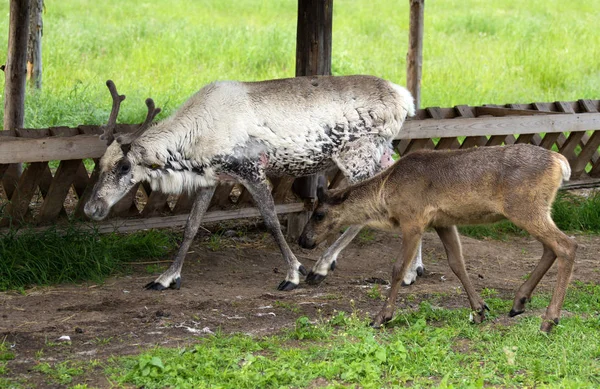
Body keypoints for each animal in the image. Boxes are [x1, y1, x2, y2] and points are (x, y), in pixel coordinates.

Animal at [298, 144, 576, 332]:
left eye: (319, 214)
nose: (303, 240)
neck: (385, 198)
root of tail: (561, 161)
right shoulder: (444, 222)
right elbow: (457, 264)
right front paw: (479, 310)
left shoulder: (413, 220)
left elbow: (398, 269)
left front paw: (381, 317)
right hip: (537, 209)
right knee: (550, 248)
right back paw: (519, 302)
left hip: (525, 207)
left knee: (566, 245)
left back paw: (549, 320)